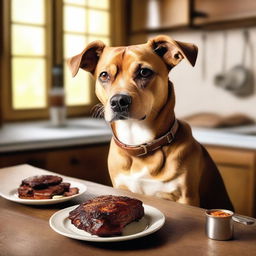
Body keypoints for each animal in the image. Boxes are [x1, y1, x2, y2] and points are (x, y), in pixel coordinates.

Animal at [68, 34, 234, 210]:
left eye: (144, 72)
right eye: (104, 75)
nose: (119, 101)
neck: (138, 142)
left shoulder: (187, 197)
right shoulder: (121, 187)